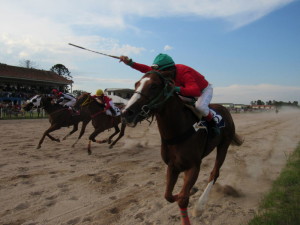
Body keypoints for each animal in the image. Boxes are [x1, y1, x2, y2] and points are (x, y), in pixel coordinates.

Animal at [122, 71, 244, 225]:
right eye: (136, 84)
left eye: (154, 86)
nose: (126, 112)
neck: (178, 131)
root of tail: (225, 109)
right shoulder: (173, 165)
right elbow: (168, 195)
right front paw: (191, 190)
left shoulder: (194, 166)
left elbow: (182, 200)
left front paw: (191, 200)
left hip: (224, 145)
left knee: (214, 173)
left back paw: (199, 207)